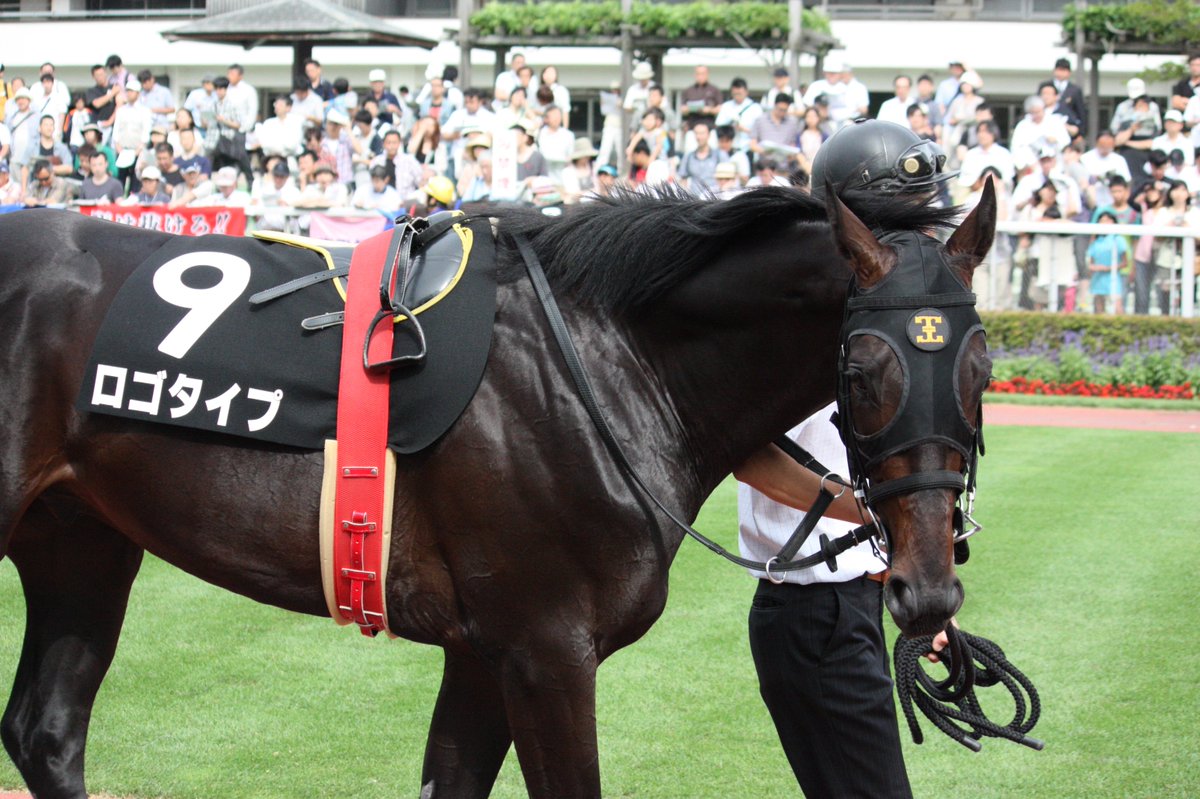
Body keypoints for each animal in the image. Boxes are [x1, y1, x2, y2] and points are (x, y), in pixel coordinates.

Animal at [0, 181, 996, 799]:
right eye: (862, 369)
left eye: (983, 367)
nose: (927, 588)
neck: (608, 357)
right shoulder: (546, 651)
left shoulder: (482, 652)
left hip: (80, 542)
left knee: (45, 731)